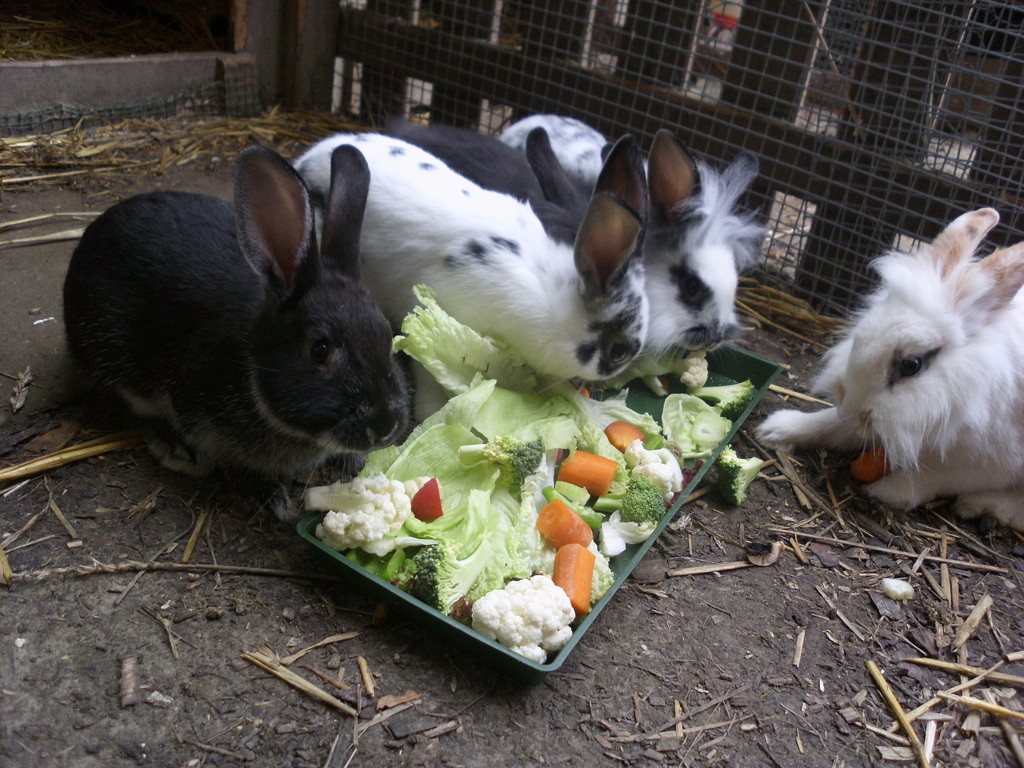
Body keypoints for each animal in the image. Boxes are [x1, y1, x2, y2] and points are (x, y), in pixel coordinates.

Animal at [757, 208, 1024, 536]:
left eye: (911, 365)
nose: (852, 411)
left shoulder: (998, 463)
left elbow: (942, 476)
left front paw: (890, 490)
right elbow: (833, 425)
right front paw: (778, 428)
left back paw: (982, 506)